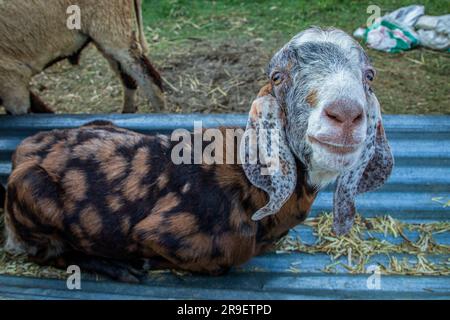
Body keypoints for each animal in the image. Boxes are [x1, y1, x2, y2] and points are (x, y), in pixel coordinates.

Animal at [2, 28, 394, 282]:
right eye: (278, 77)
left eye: (369, 76)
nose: (345, 113)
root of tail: (23, 151)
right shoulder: (167, 236)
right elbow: (219, 264)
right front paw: (146, 263)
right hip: (30, 194)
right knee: (46, 253)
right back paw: (120, 269)